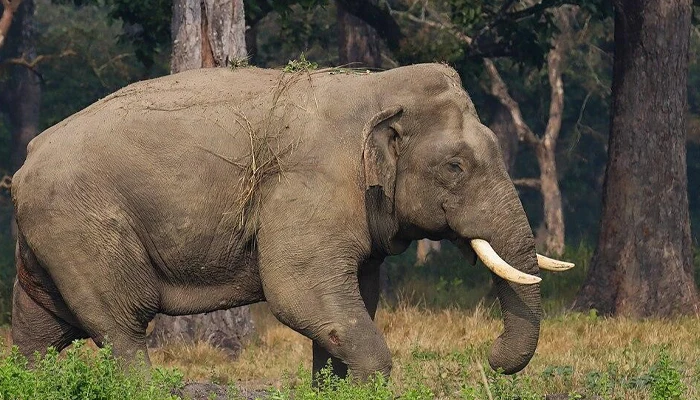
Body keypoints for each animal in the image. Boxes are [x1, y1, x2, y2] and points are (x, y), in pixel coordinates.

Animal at [10, 63, 573, 380]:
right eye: (455, 167)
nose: (490, 358)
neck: (373, 89)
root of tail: (24, 163)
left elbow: (354, 300)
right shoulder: (310, 186)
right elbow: (301, 294)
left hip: (49, 239)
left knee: (39, 329)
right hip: (81, 227)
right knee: (121, 324)